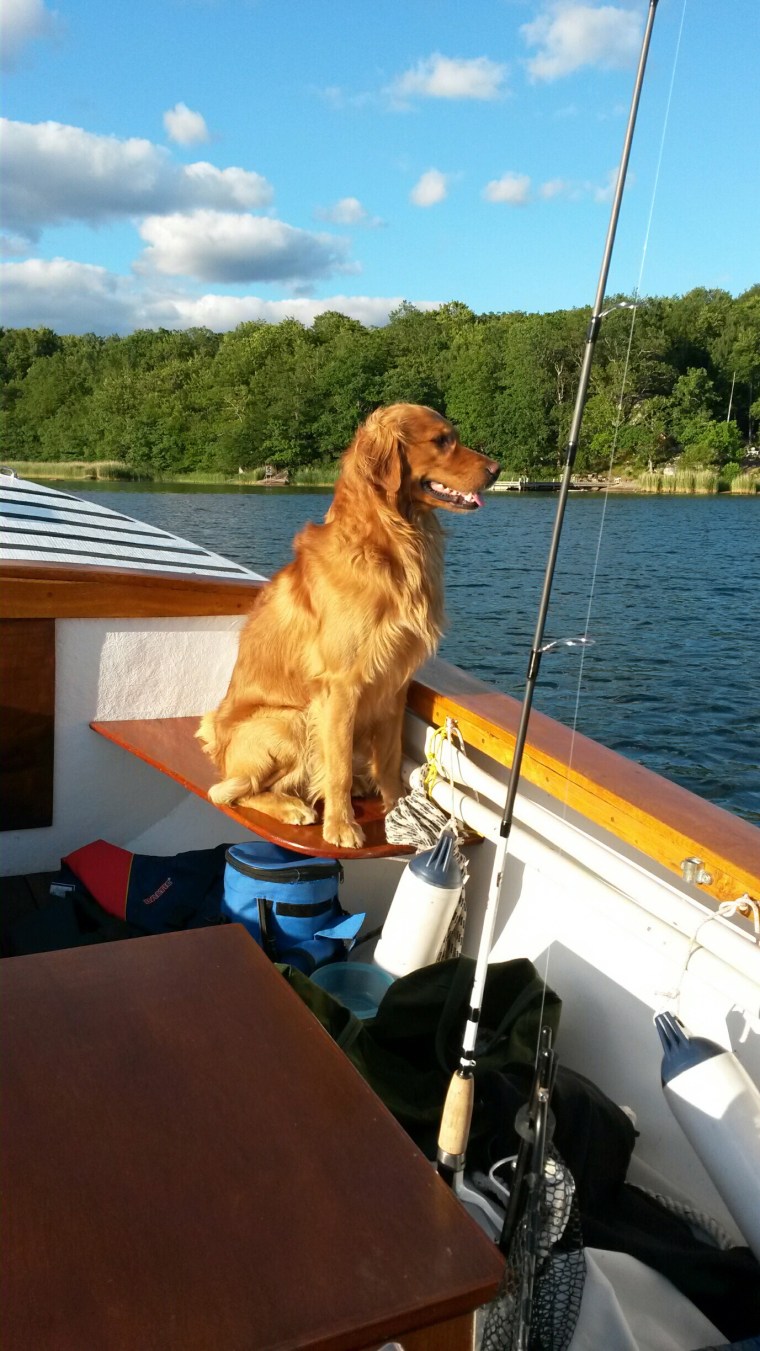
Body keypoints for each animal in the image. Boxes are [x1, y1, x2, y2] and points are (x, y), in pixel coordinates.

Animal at [197, 403, 500, 848]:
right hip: (290, 720)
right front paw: (341, 826)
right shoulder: (341, 686)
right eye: (442, 440)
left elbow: (389, 757)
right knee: (231, 791)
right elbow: (337, 766)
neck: (391, 540)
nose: (498, 469)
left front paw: (396, 806)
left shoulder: (395, 682)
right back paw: (294, 806)